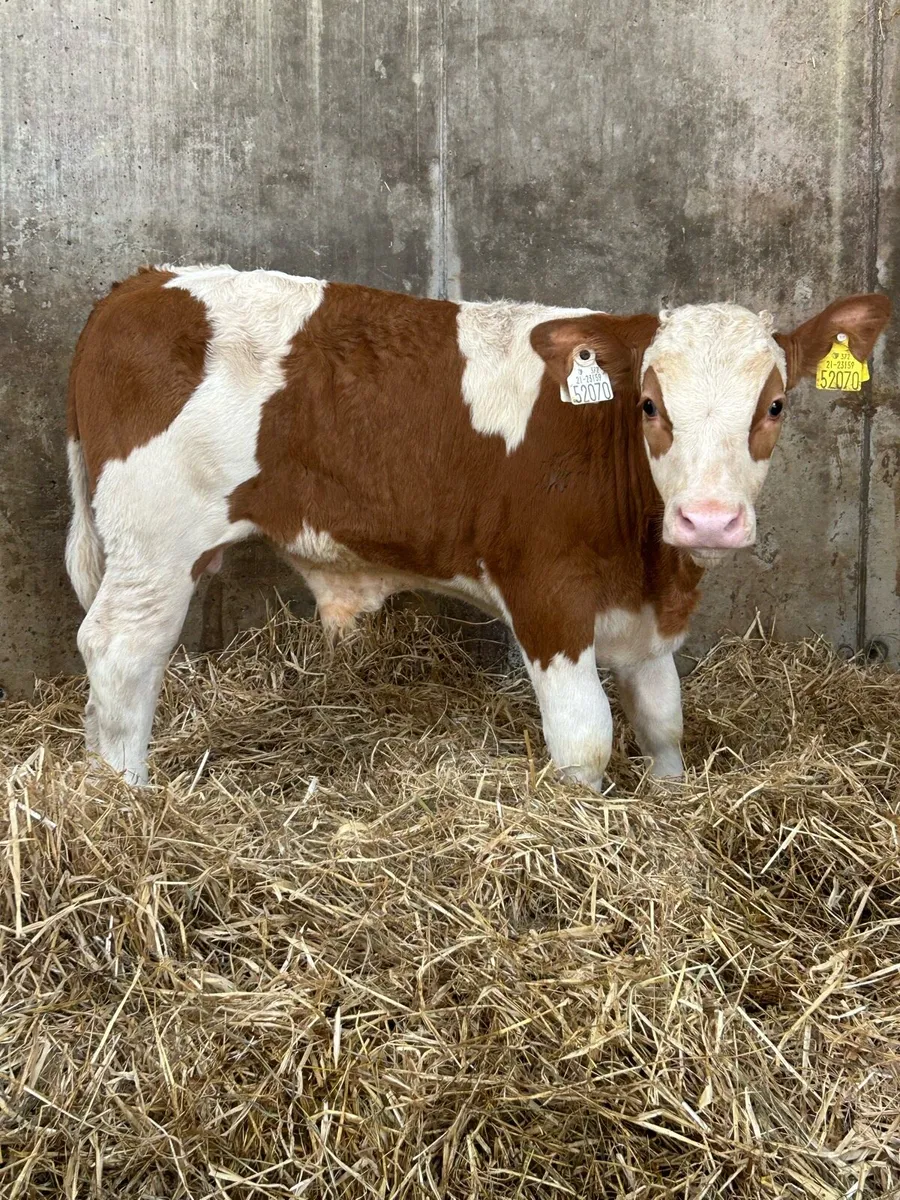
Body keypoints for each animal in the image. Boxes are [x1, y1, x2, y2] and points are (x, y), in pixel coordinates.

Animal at [64, 265, 890, 788]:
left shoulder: (647, 616)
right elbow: (585, 740)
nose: (709, 519)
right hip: (156, 542)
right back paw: (128, 798)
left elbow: (663, 721)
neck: (652, 567)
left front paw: (669, 798)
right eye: (651, 405)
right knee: (119, 652)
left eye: (774, 406)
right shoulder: (546, 595)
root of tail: (140, 284)